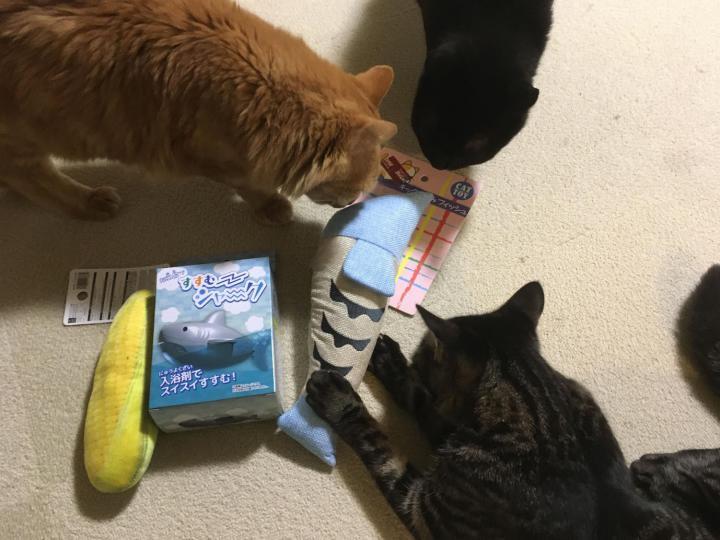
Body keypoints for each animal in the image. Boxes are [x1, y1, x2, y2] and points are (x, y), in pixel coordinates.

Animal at [0, 0, 396, 224]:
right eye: (356, 189)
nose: (350, 205)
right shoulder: (205, 158)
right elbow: (249, 184)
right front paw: (270, 206)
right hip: (27, 139)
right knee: (31, 179)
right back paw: (88, 202)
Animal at [307, 274, 720, 539]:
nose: (415, 352)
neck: (538, 403)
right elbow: (420, 398)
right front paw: (389, 359)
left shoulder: (422, 510)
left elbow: (381, 446)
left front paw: (336, 396)